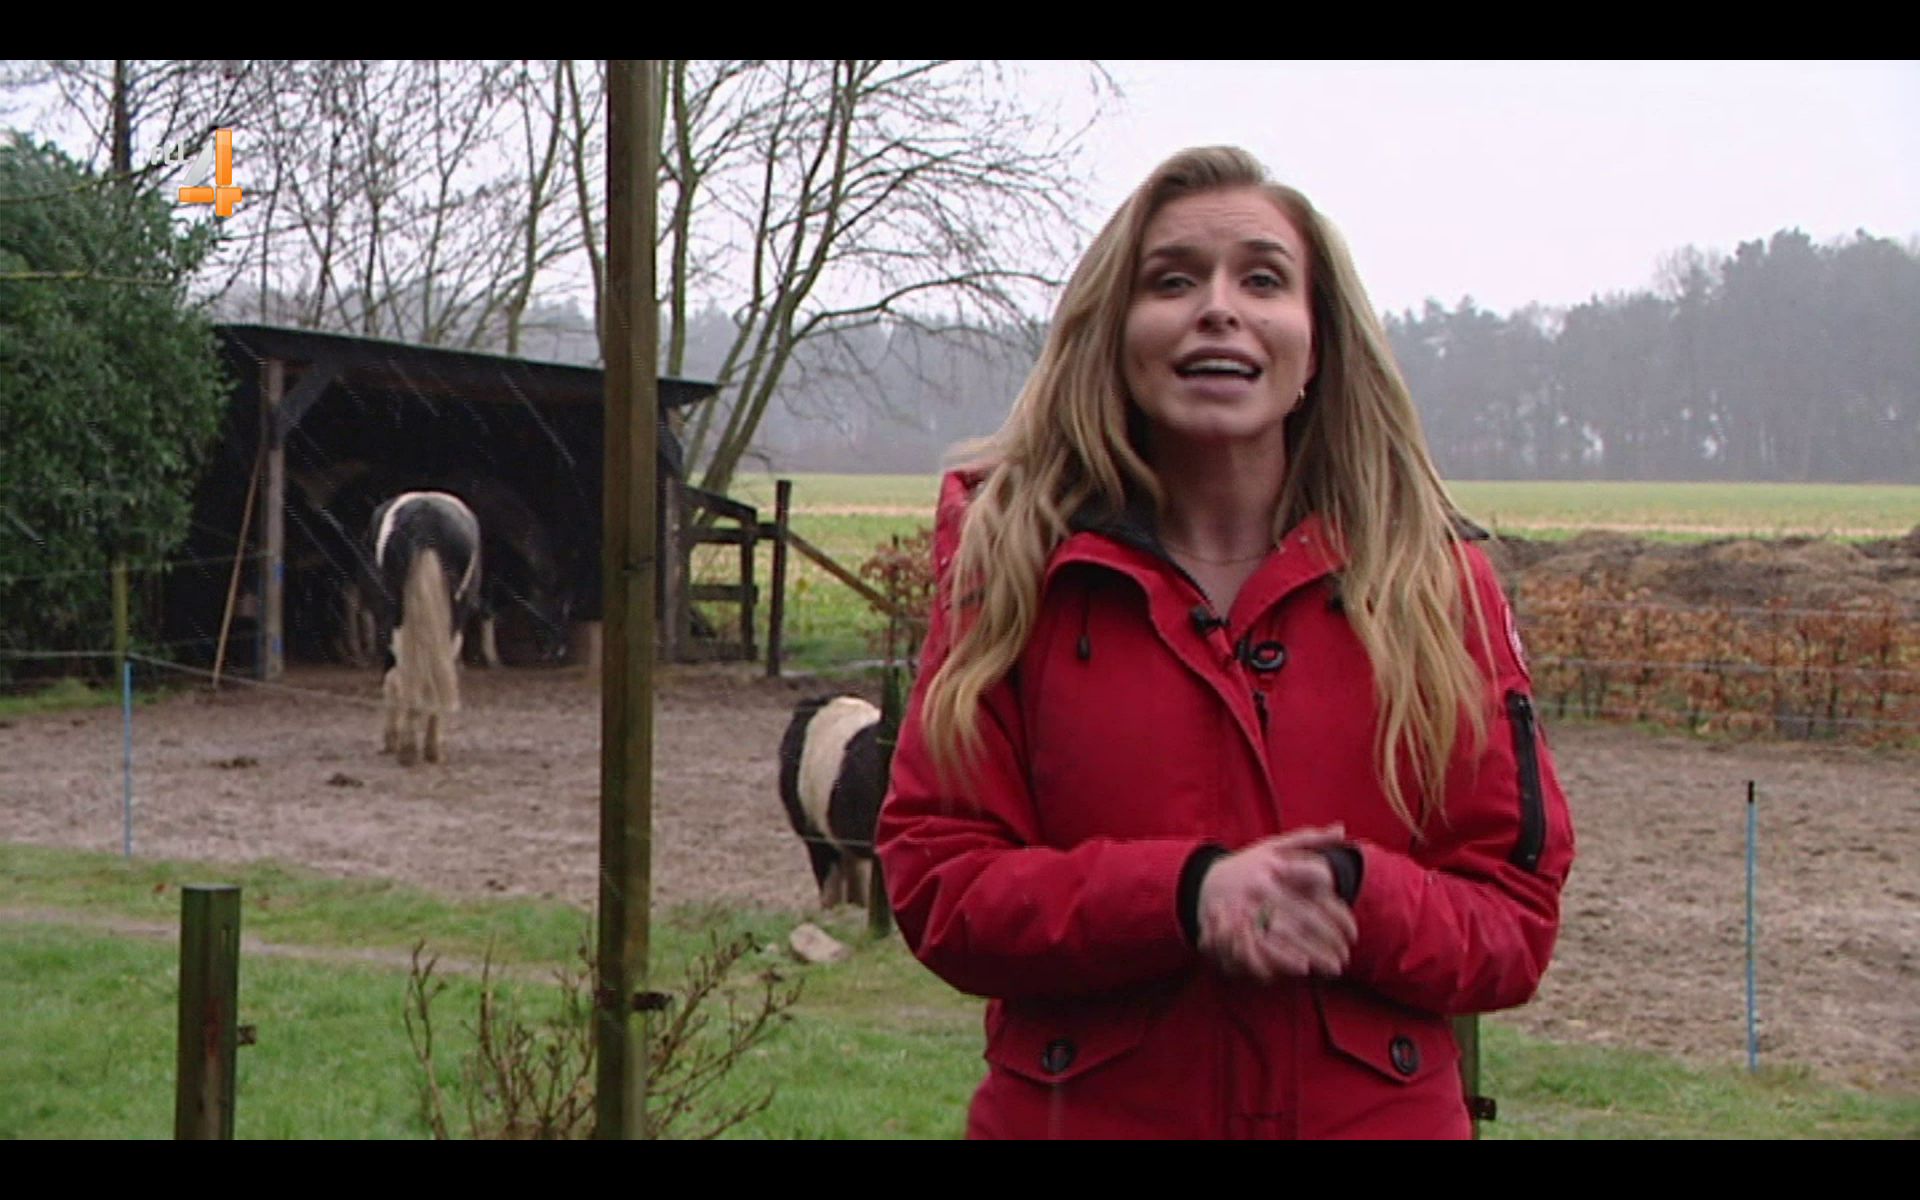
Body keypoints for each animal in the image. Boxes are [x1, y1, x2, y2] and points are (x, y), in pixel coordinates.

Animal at [368, 491, 483, 765]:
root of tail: (425, 514)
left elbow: (392, 678)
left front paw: (391, 740)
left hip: (397, 617)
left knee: (406, 672)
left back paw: (410, 748)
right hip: (452, 621)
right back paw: (428, 748)